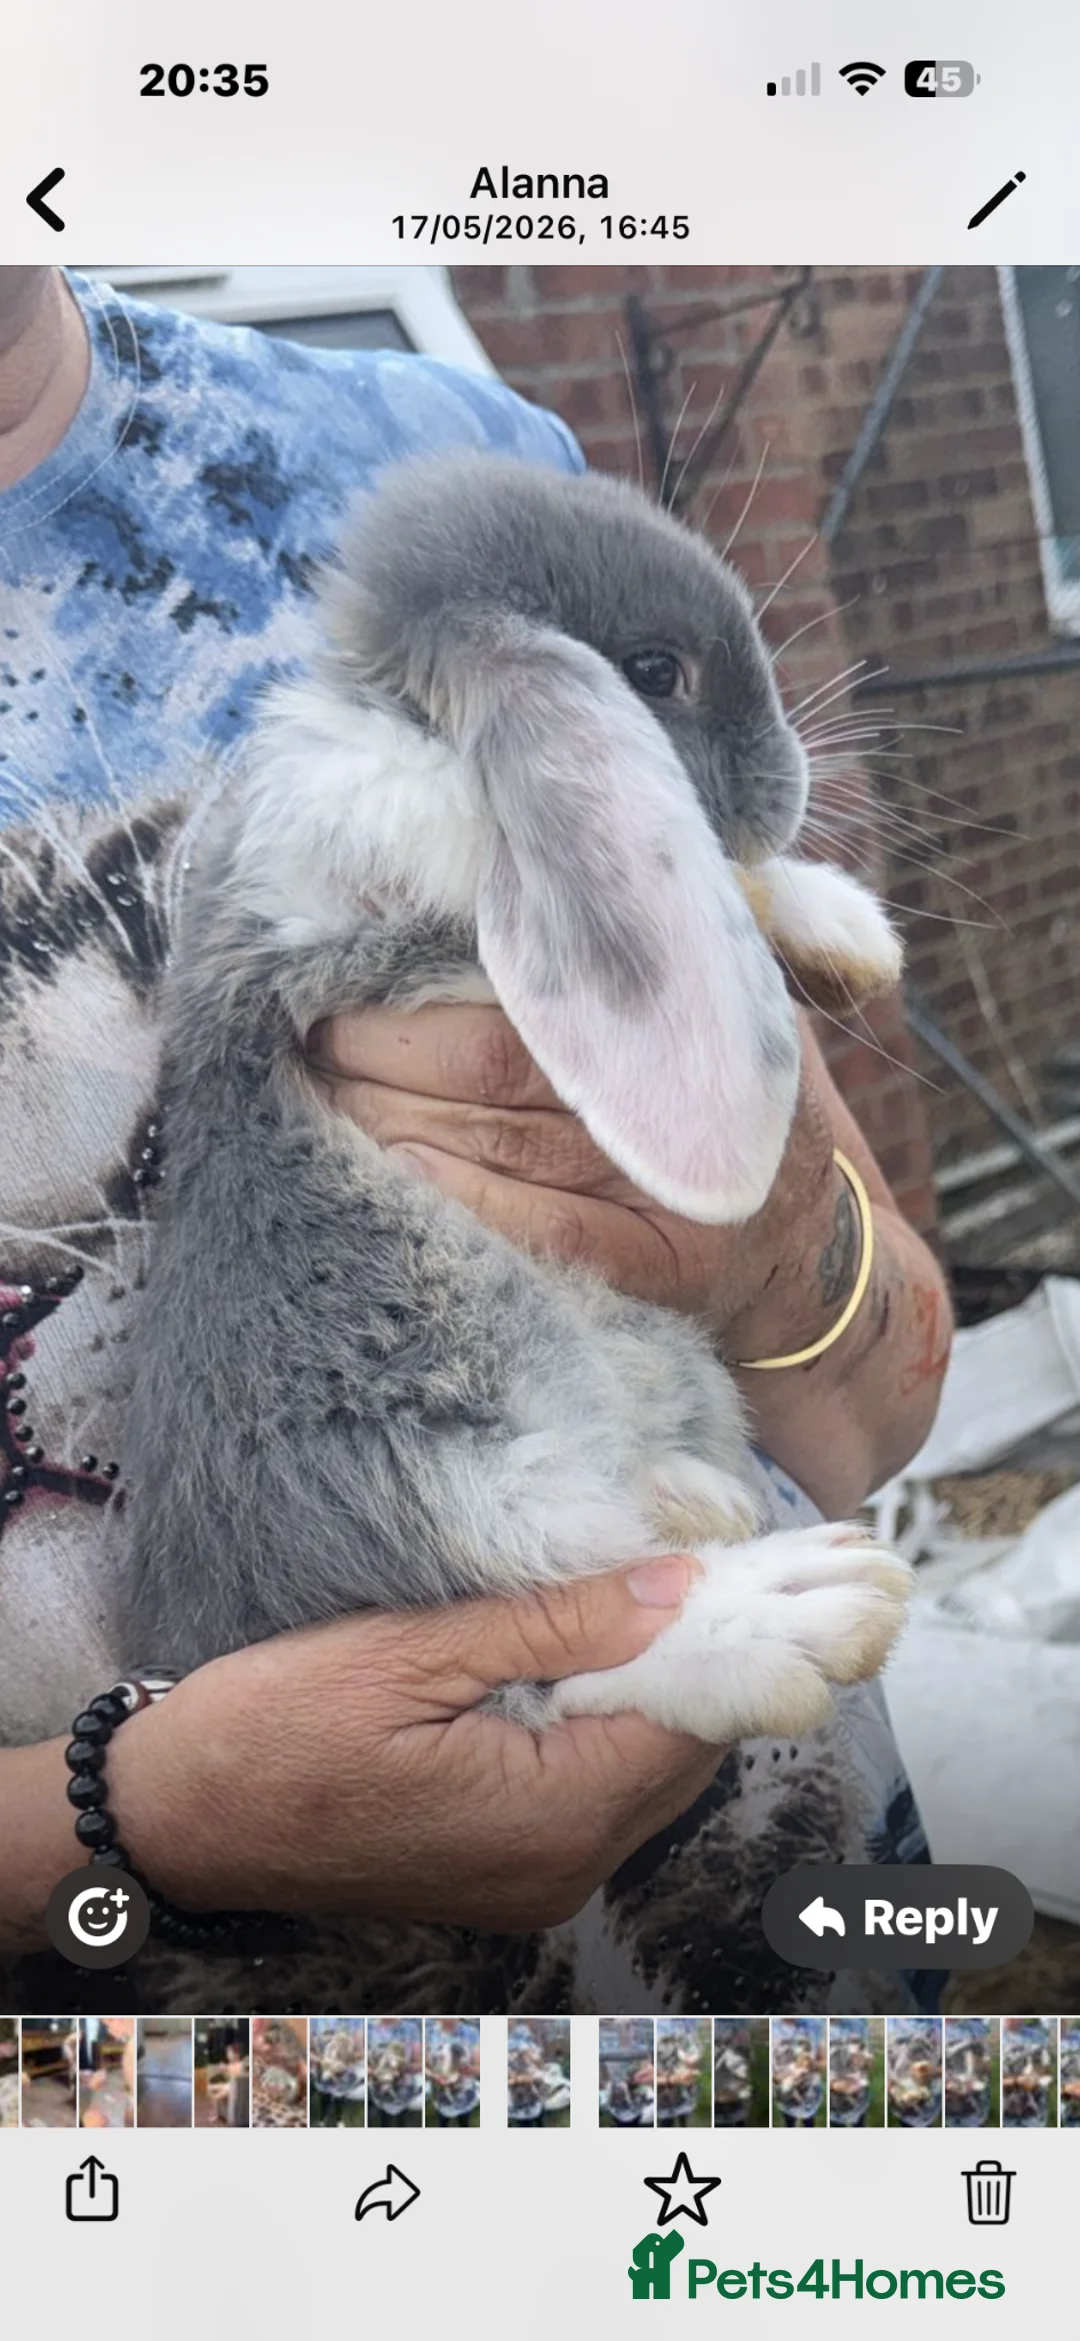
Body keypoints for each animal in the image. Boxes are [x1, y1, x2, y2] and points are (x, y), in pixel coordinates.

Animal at [118, 451, 911, 1747]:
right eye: (655, 673)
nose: (788, 787)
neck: (414, 728)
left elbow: (734, 889)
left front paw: (845, 929)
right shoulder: (409, 921)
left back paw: (697, 1495)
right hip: (438, 1479)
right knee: (564, 1639)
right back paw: (800, 1602)